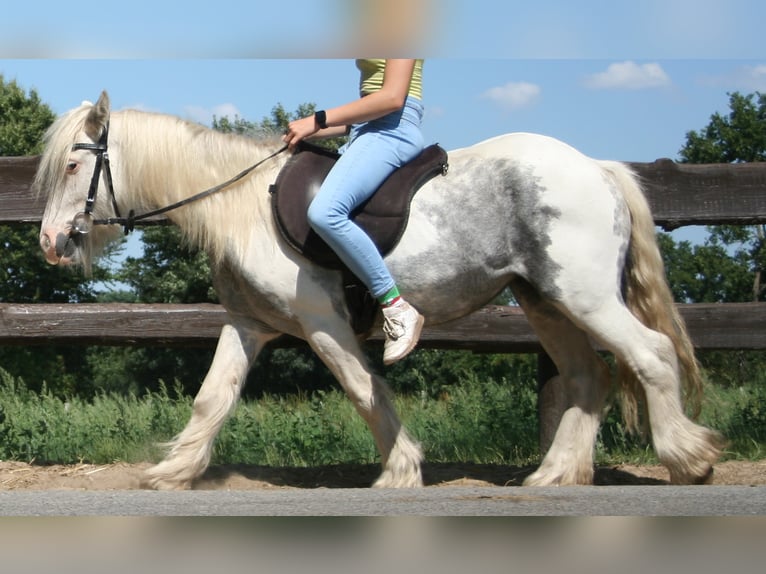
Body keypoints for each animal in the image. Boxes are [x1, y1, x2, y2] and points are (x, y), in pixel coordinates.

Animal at [34, 92, 728, 488]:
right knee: (588, 377)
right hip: (545, 302)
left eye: (72, 165)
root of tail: (596, 168)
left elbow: (364, 390)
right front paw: (171, 471)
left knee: (650, 356)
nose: (50, 242)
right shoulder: (249, 325)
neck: (241, 205)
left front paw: (400, 469)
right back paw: (554, 474)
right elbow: (213, 400)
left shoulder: (321, 324)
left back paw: (687, 459)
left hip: (584, 297)